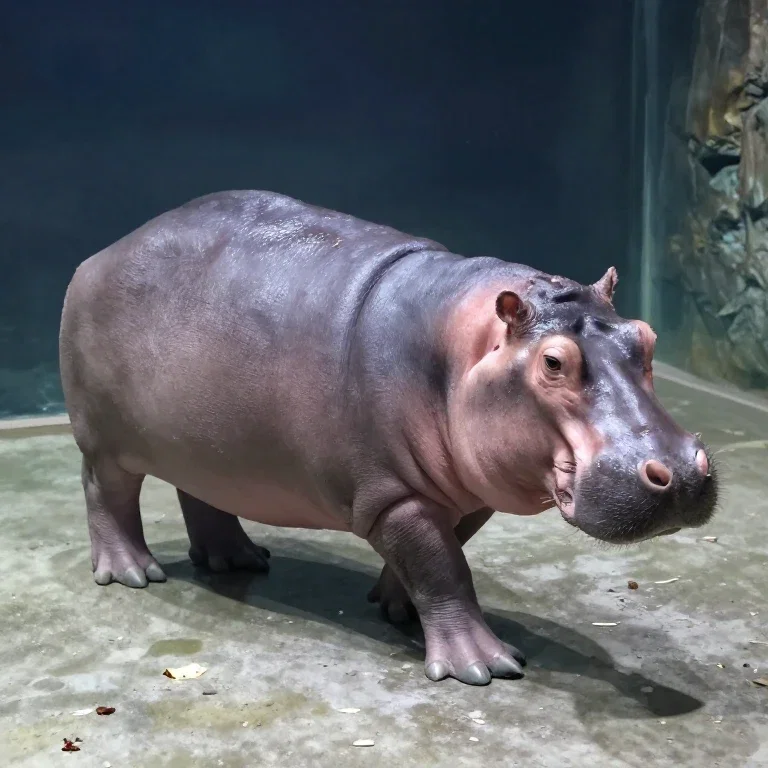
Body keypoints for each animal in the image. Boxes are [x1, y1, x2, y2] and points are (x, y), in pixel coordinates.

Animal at [59, 190, 718, 686]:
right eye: (553, 362)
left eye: (646, 335)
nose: (683, 471)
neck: (458, 348)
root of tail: (99, 255)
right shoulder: (392, 495)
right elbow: (444, 569)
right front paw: (483, 667)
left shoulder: (465, 493)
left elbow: (437, 556)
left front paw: (396, 609)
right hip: (105, 441)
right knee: (105, 493)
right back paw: (132, 573)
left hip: (208, 446)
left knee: (201, 495)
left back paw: (238, 560)